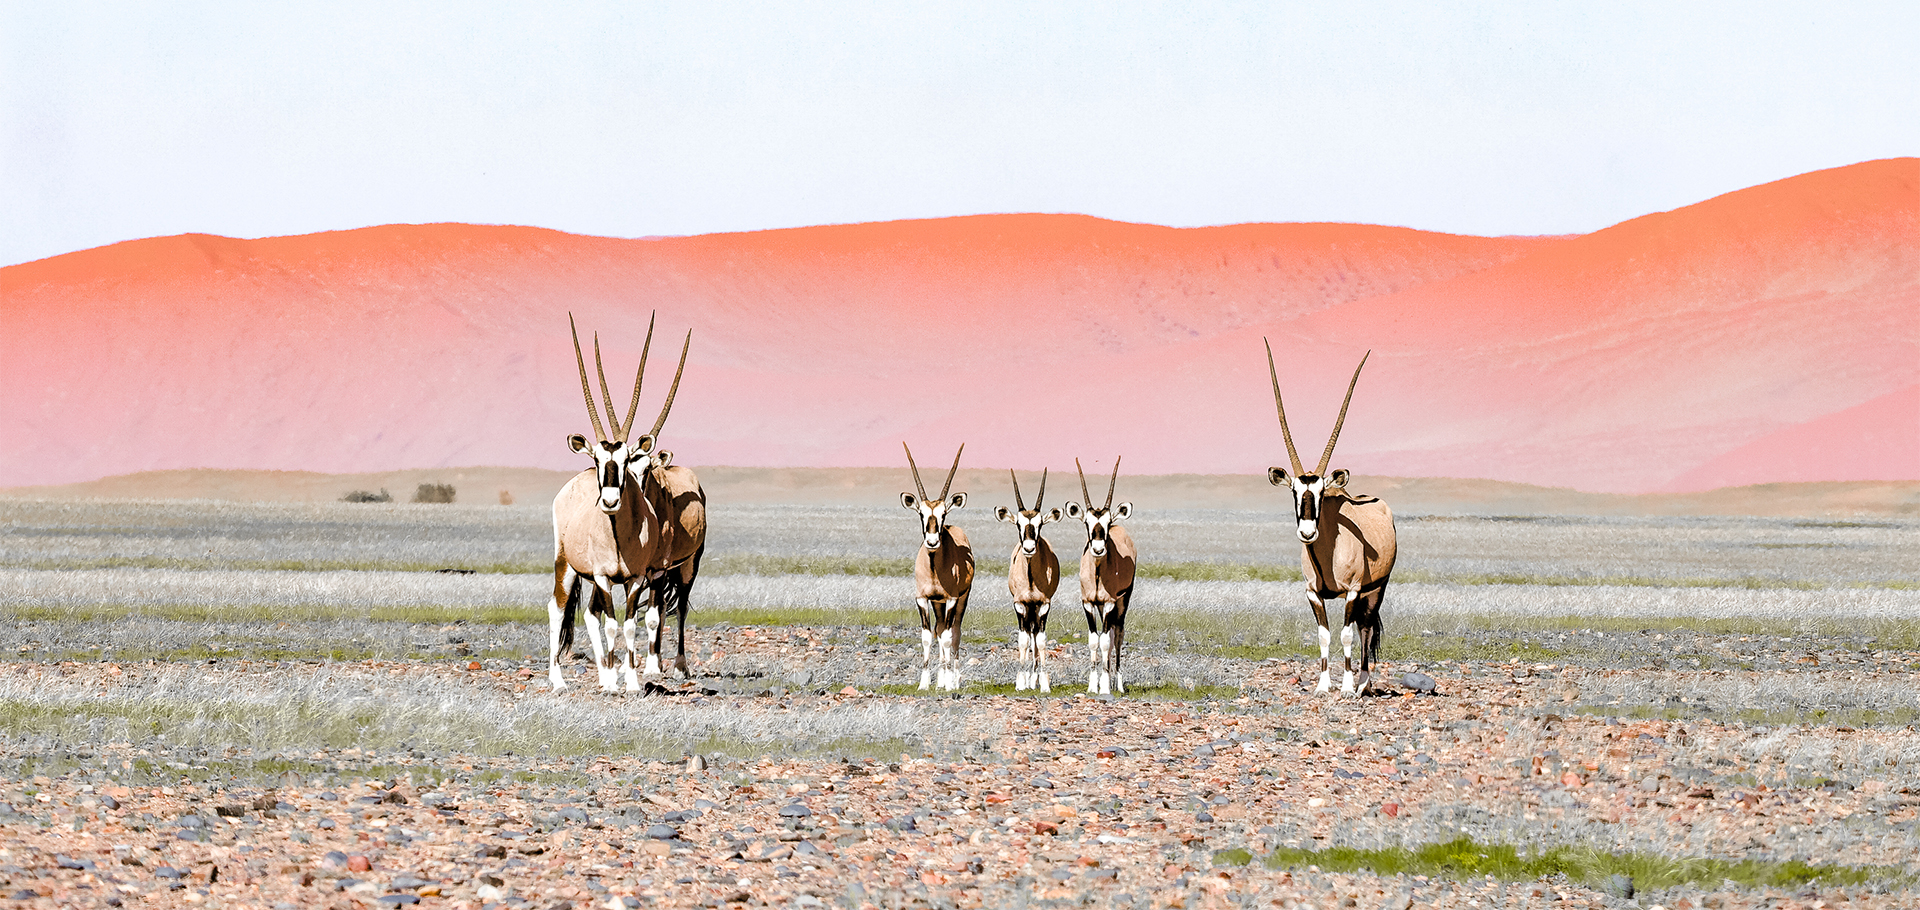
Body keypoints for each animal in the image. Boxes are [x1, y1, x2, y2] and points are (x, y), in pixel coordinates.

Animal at [546, 314, 670, 692]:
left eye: (627, 459)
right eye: (599, 459)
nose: (611, 500)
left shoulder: (635, 579)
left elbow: (627, 625)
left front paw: (630, 681)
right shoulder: (602, 576)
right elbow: (612, 624)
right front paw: (615, 682)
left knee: (588, 613)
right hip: (566, 566)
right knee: (557, 608)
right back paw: (558, 679)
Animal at [901, 443, 975, 692]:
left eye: (943, 513)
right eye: (921, 514)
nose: (932, 542)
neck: (934, 569)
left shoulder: (951, 598)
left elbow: (948, 637)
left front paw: (950, 683)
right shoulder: (923, 598)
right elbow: (928, 636)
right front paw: (924, 683)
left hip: (961, 599)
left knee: (954, 632)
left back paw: (954, 678)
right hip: (938, 603)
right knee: (941, 628)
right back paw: (942, 678)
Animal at [995, 469, 1061, 693]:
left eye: (1040, 524)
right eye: (1018, 524)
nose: (1029, 548)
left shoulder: (1043, 605)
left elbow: (1040, 642)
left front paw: (1044, 683)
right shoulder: (1020, 605)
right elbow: (1023, 641)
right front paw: (1020, 681)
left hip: (1036, 610)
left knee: (1035, 638)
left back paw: (1035, 679)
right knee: (1029, 637)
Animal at [1064, 458, 1135, 696]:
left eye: (1106, 523)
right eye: (1087, 522)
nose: (1097, 549)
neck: (1096, 574)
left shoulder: (1110, 602)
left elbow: (1104, 642)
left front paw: (1104, 686)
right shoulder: (1088, 603)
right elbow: (1094, 641)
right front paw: (1092, 684)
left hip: (1123, 602)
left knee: (1118, 636)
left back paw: (1118, 683)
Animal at [1264, 341, 1398, 697]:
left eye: (1323, 492)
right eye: (1294, 491)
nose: (1308, 532)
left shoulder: (1353, 590)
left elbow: (1347, 633)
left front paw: (1347, 686)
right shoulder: (1312, 592)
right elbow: (1324, 635)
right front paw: (1323, 685)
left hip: (1376, 590)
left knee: (1365, 628)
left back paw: (1363, 682)